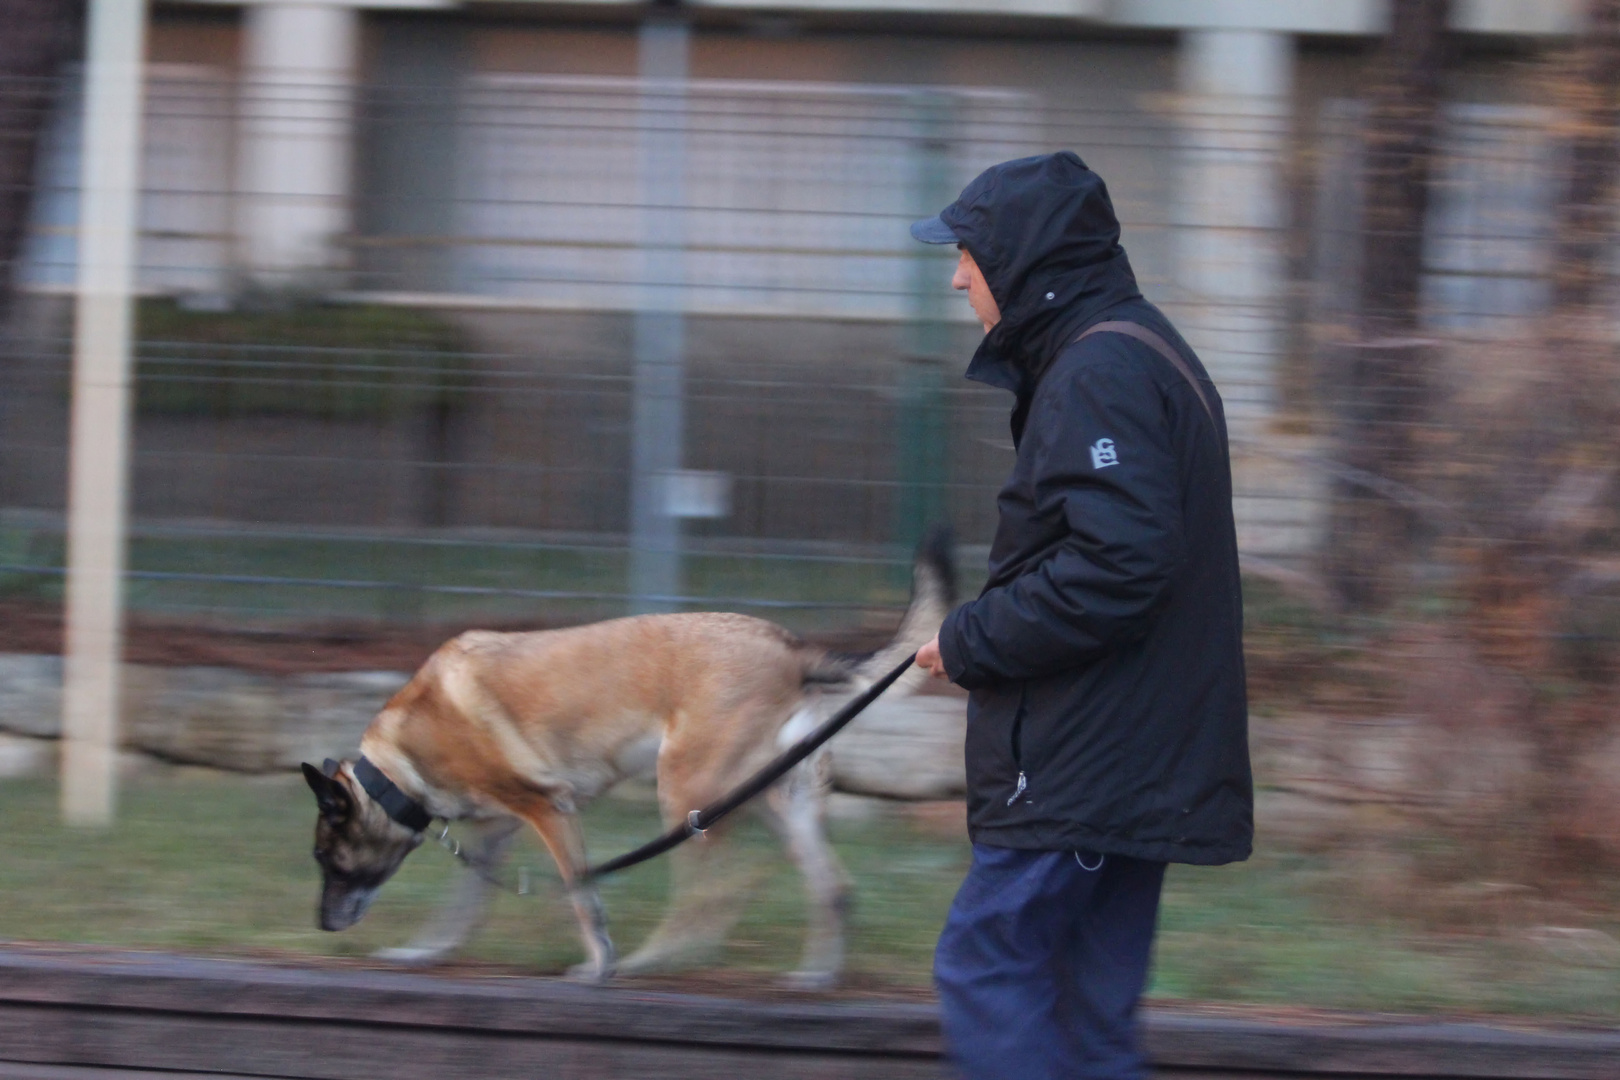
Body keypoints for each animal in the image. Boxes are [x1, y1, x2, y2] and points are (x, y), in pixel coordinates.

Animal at [301, 531, 946, 990]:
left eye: (325, 857)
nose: (322, 926)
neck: (399, 766)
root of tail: (791, 649)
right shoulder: (496, 833)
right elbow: (460, 908)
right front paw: (421, 951)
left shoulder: (550, 810)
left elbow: (583, 899)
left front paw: (599, 967)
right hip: (773, 801)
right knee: (833, 888)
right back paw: (817, 974)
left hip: (685, 795)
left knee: (712, 896)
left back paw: (647, 962)